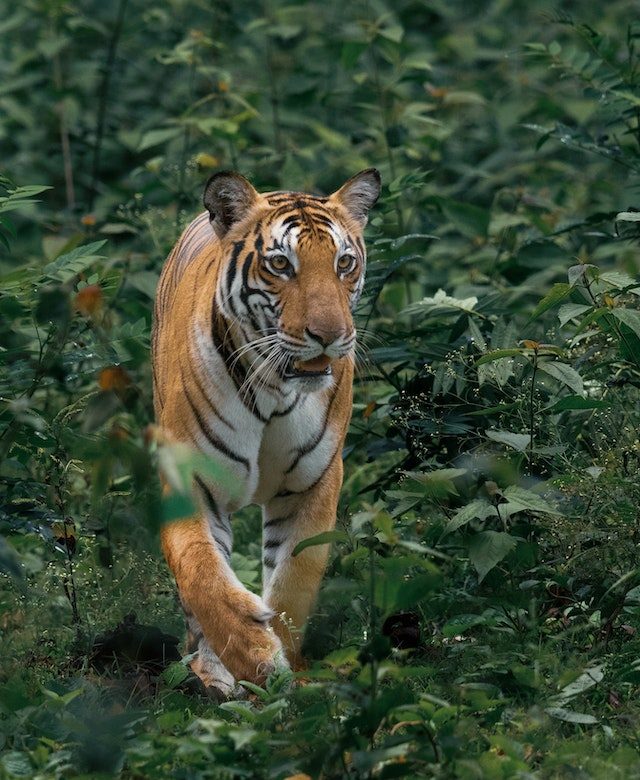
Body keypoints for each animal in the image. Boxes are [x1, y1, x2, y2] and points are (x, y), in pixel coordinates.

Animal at [152, 168, 381, 697]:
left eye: (344, 263)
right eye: (281, 264)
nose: (329, 336)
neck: (275, 389)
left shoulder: (314, 482)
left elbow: (295, 579)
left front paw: (285, 667)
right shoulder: (189, 478)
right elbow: (202, 573)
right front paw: (254, 659)